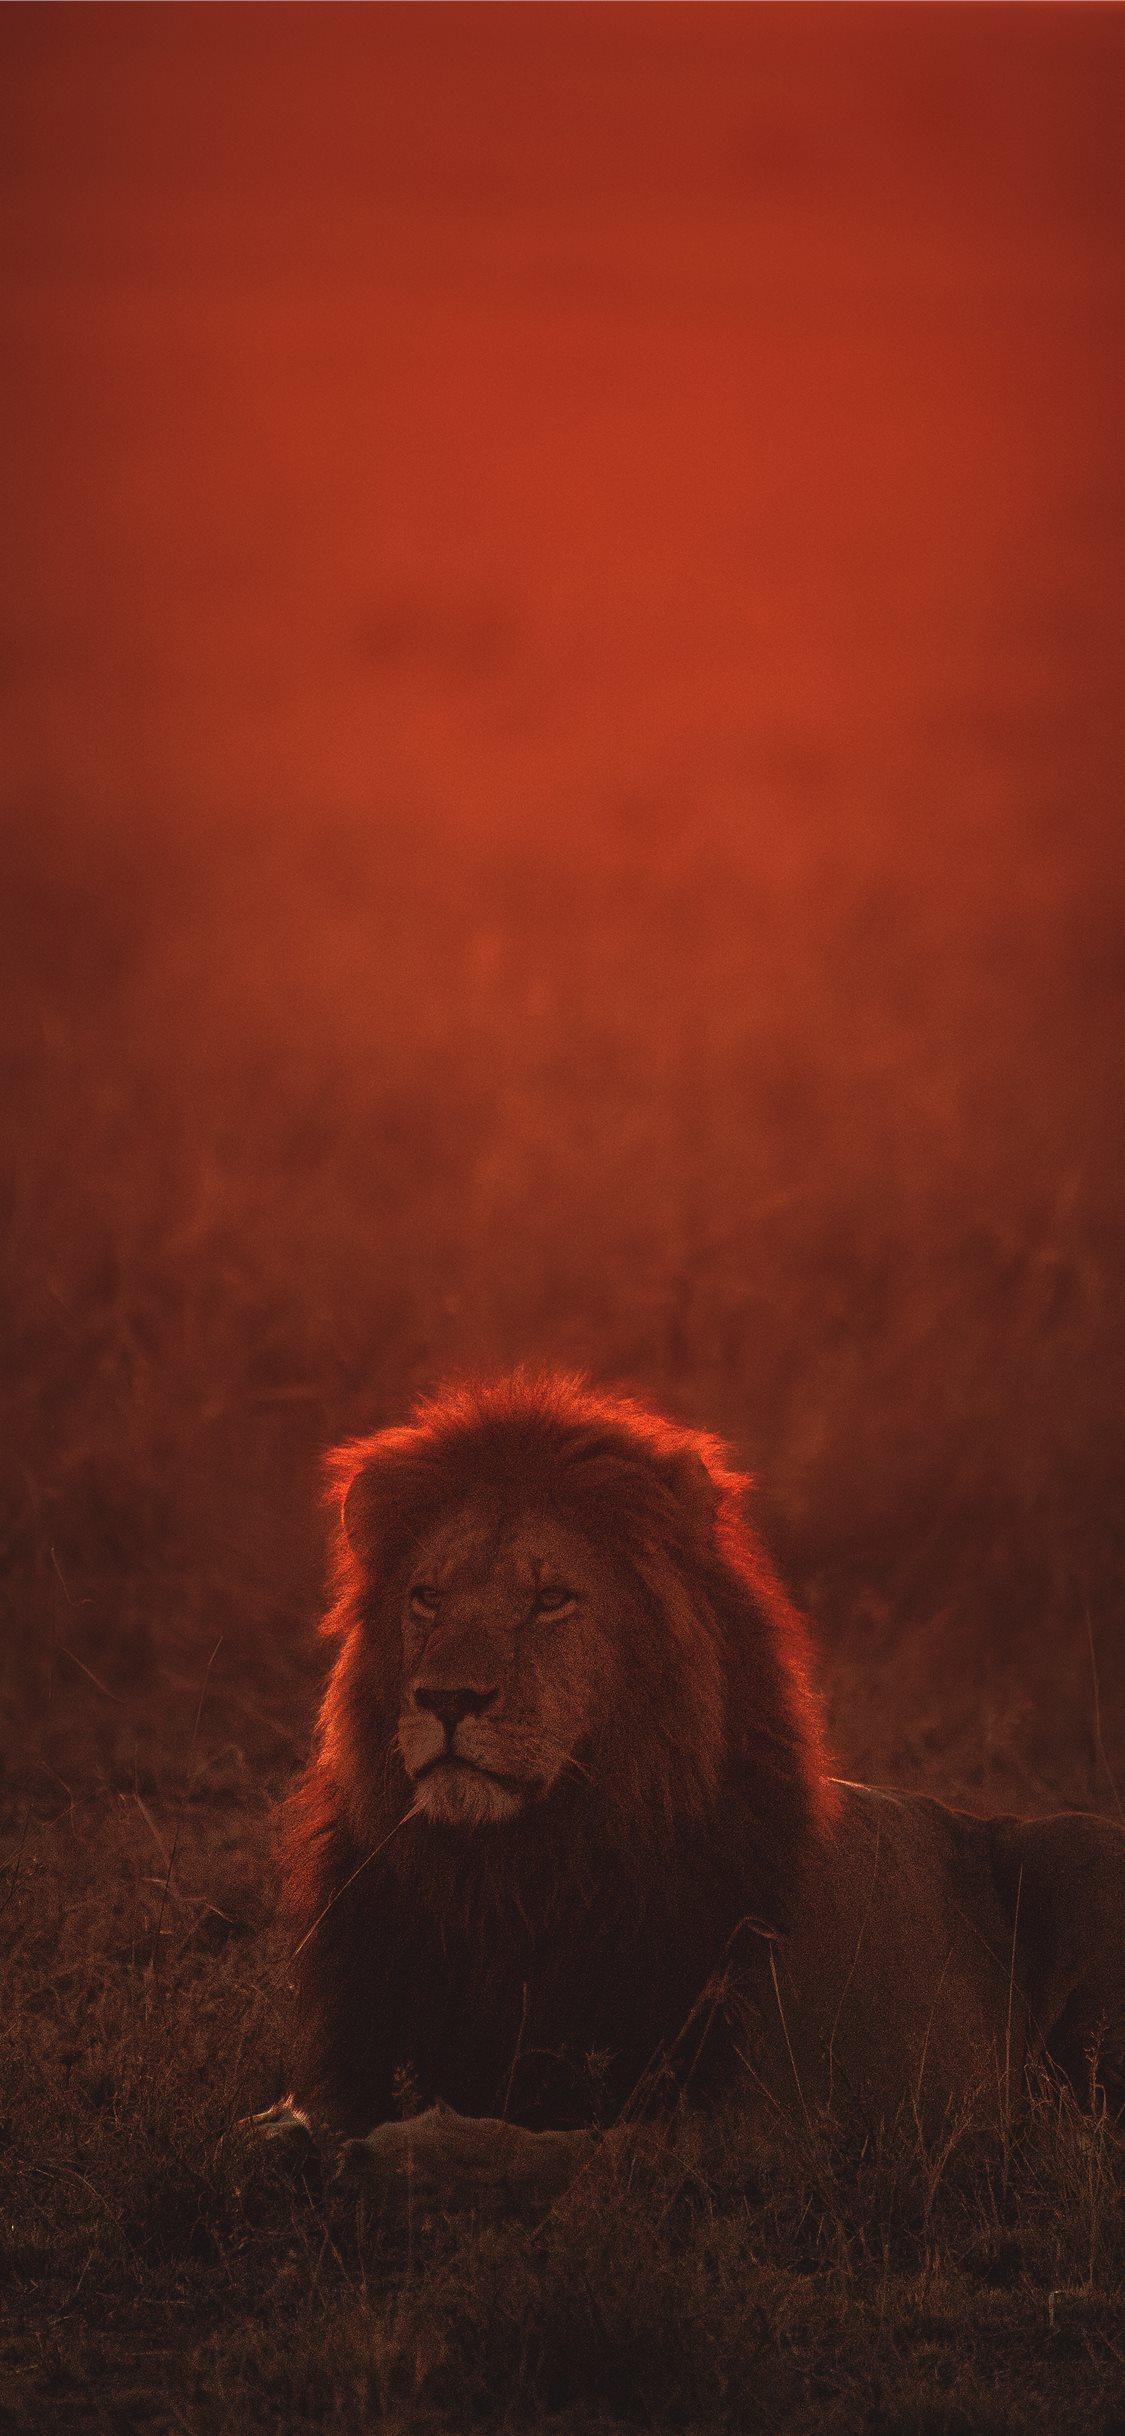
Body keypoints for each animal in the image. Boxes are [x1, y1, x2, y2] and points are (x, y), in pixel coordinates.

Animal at [265, 1373, 1124, 2197]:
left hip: (1077, 1856)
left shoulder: (782, 2127)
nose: (446, 1699)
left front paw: (416, 2150)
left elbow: (591, 2153)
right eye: (427, 1598)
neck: (511, 1879)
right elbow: (276, 2130)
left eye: (550, 1600)